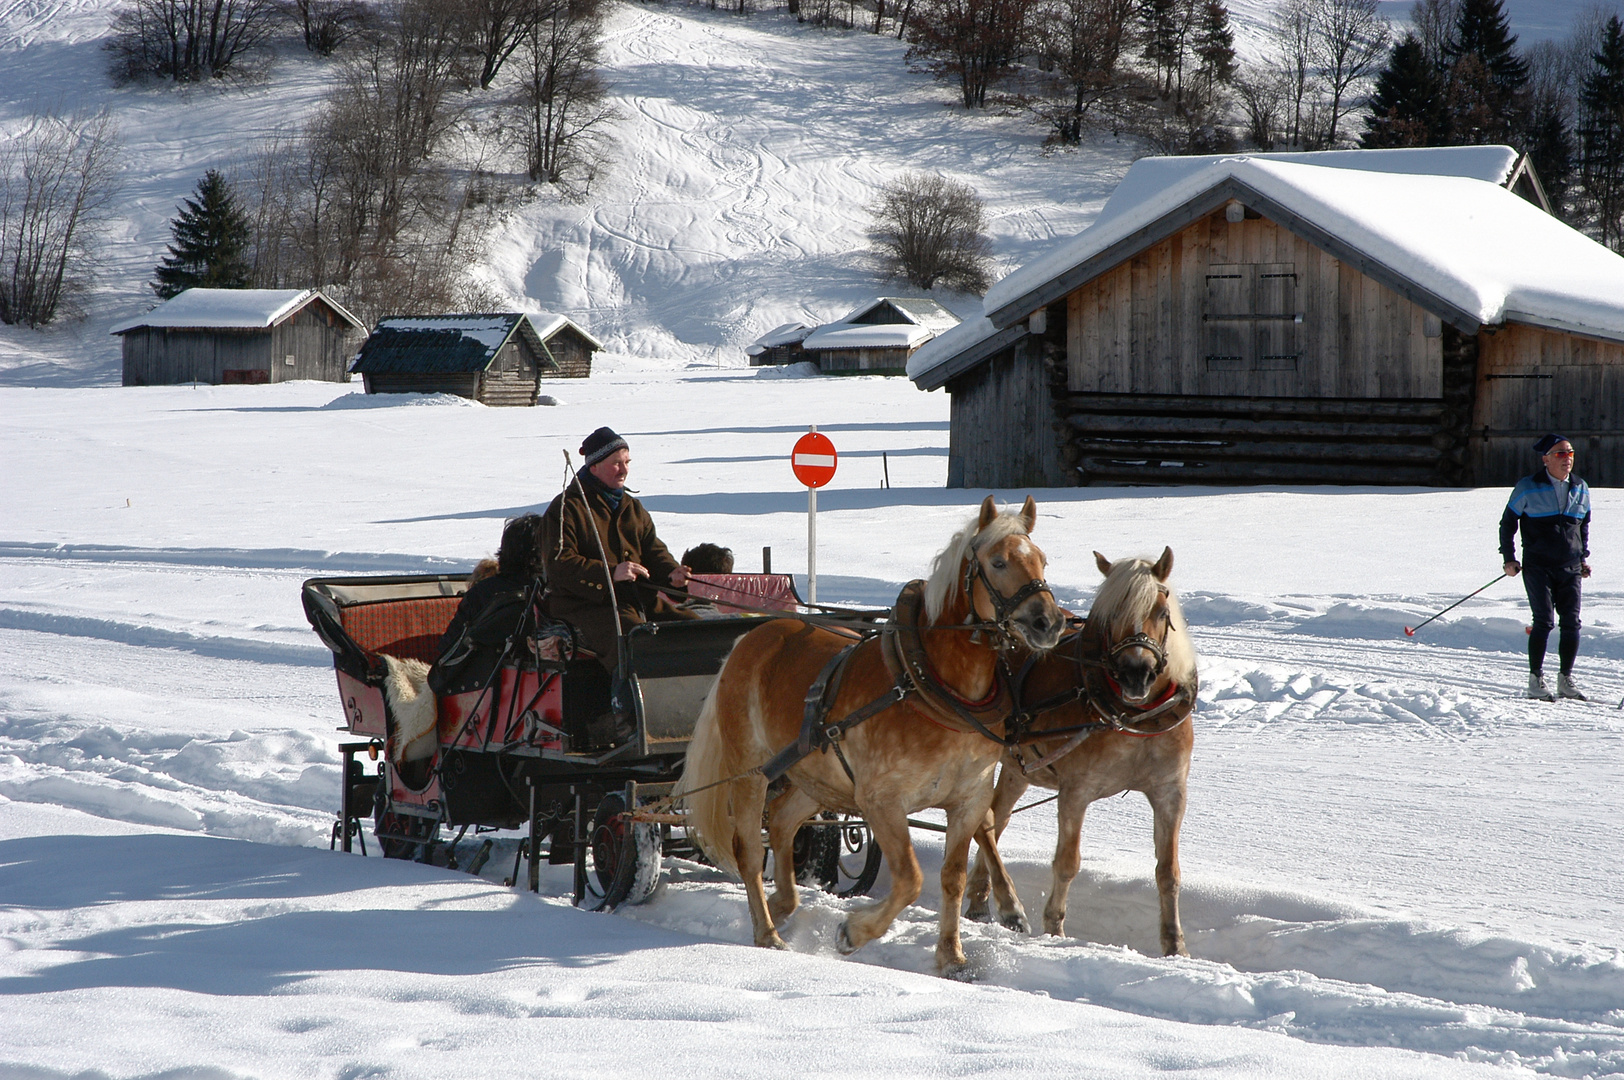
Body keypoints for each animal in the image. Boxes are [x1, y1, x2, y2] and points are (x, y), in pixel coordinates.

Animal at [961, 548, 1195, 954]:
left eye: (1161, 612)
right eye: (1111, 616)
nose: (1136, 673)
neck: (1134, 716)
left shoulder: (1171, 792)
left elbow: (1168, 872)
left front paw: (1174, 946)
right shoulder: (1076, 791)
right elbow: (1067, 862)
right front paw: (1054, 928)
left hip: (1015, 769)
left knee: (994, 819)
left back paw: (979, 900)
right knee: (986, 821)